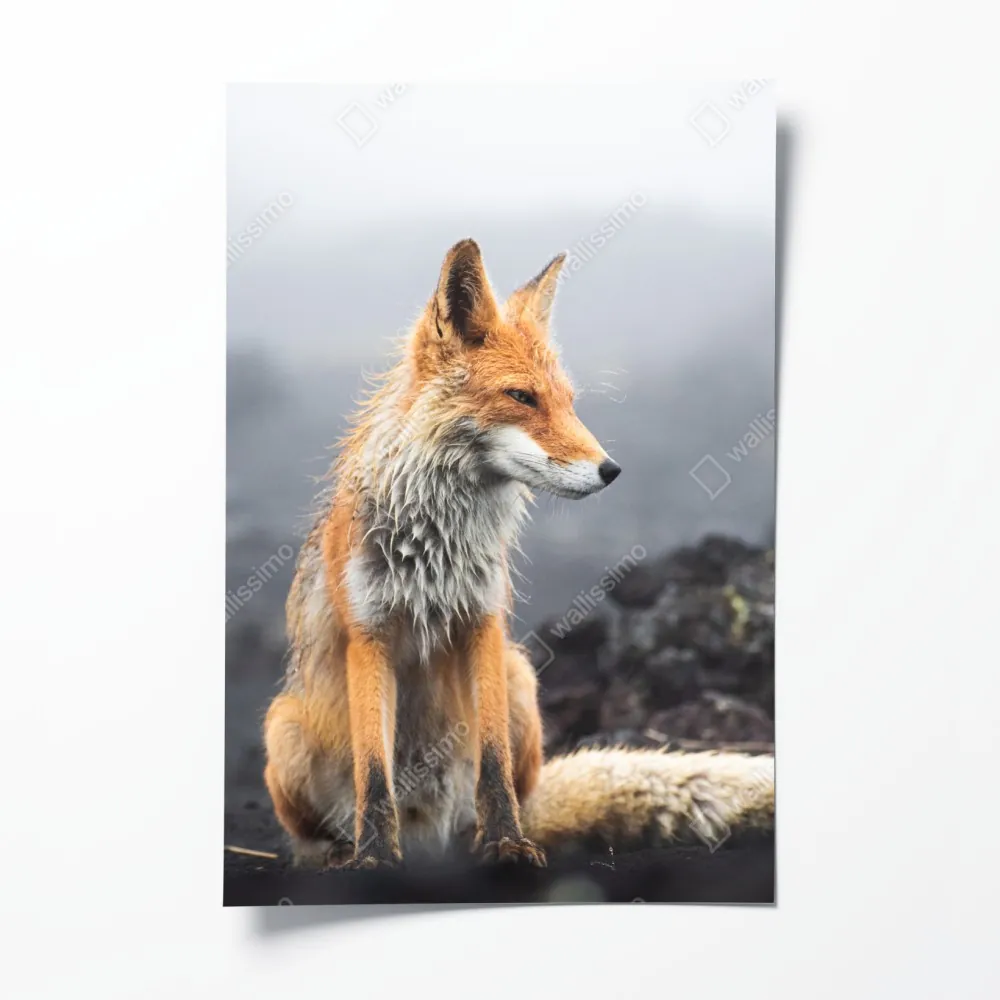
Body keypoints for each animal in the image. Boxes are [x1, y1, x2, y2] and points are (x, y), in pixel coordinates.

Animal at [262, 239, 774, 869]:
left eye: (568, 402)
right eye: (521, 397)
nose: (611, 470)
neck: (437, 547)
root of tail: (430, 839)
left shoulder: (483, 621)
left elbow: (493, 763)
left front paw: (506, 844)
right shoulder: (370, 634)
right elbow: (374, 776)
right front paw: (375, 859)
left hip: (520, 677)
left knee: (509, 795)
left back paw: (481, 841)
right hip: (283, 727)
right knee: (318, 832)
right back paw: (339, 855)